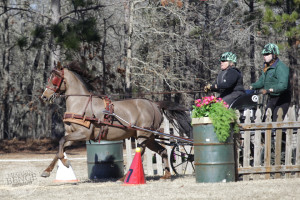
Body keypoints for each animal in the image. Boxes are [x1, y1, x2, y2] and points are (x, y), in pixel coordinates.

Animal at [40, 61, 192, 179]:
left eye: (54, 78)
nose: (44, 97)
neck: (80, 103)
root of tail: (155, 104)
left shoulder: (83, 134)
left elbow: (61, 142)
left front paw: (65, 162)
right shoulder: (72, 134)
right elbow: (60, 147)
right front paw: (47, 171)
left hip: (143, 135)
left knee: (142, 153)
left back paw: (127, 177)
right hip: (149, 137)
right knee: (163, 150)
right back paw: (167, 175)